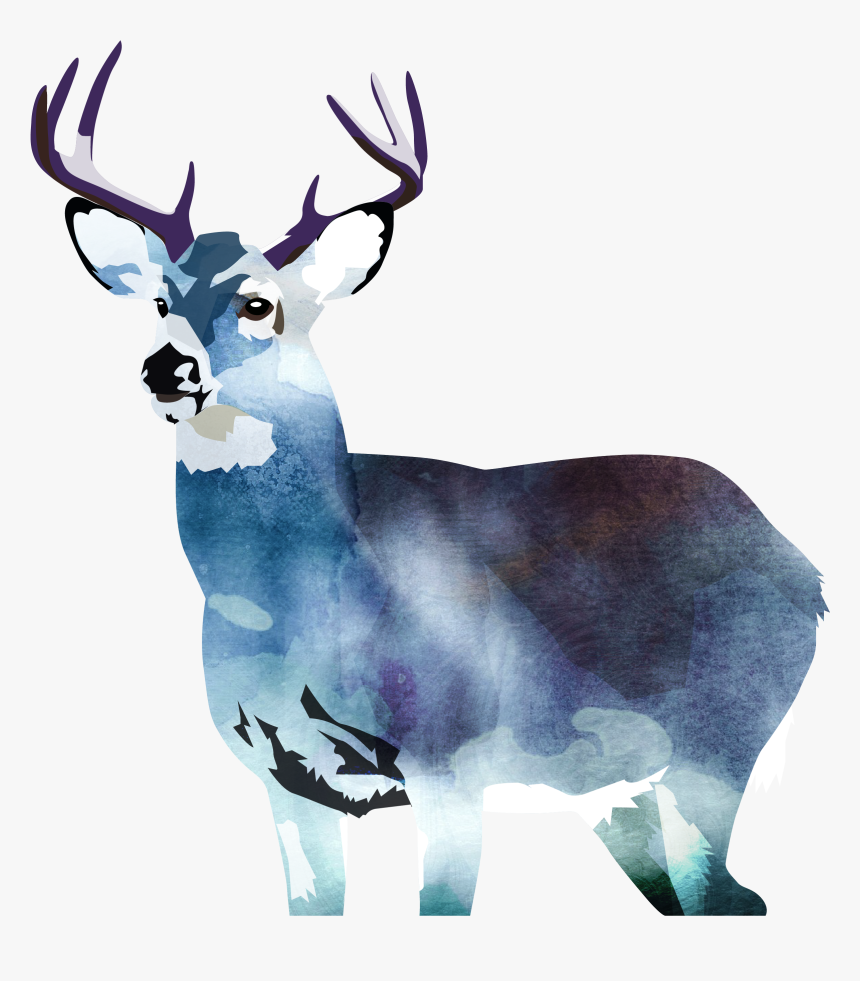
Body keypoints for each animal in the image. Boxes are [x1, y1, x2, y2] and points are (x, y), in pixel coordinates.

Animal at [31, 43, 826, 917]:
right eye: (158, 300)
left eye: (259, 304)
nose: (166, 368)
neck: (310, 603)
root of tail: (805, 565)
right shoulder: (282, 785)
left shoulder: (451, 759)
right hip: (620, 801)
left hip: (715, 749)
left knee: (728, 891)